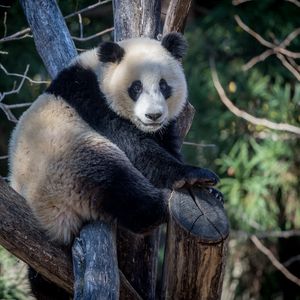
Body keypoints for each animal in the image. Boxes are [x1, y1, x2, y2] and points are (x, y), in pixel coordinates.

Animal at [8, 32, 218, 298]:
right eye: (136, 87)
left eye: (163, 85)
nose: (153, 116)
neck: (100, 73)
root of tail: (48, 222)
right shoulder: (93, 100)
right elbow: (136, 149)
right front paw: (193, 175)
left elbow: (164, 145)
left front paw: (214, 192)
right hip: (69, 165)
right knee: (114, 181)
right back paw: (161, 204)